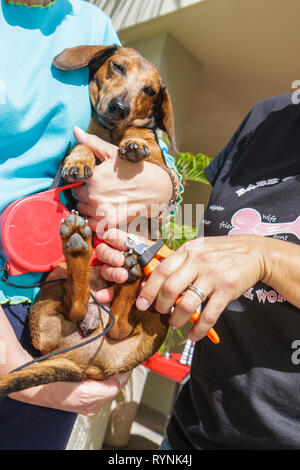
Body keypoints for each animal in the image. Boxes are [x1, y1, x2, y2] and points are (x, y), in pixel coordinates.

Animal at [0, 45, 178, 396]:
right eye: (118, 66)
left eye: (150, 90)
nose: (119, 108)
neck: (113, 132)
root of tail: (87, 366)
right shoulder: (87, 137)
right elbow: (83, 143)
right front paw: (80, 160)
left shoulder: (157, 164)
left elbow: (147, 147)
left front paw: (134, 144)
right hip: (53, 286)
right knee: (81, 306)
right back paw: (86, 252)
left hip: (156, 309)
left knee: (118, 322)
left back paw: (122, 269)